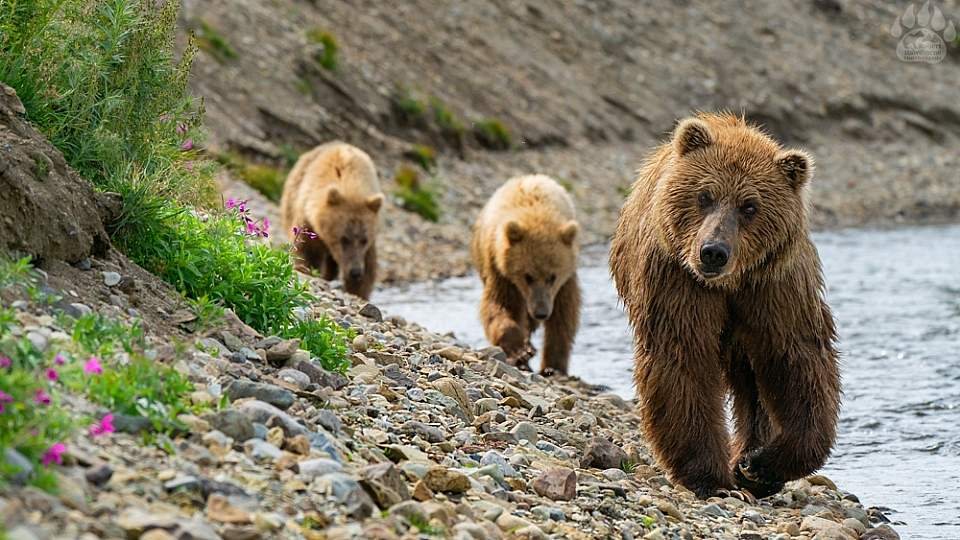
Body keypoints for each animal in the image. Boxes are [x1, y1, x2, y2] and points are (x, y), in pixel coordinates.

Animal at [280, 141, 384, 300]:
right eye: (344, 238)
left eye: (364, 240)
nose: (355, 271)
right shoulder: (308, 223)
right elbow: (307, 251)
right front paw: (306, 269)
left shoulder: (368, 245)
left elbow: (368, 268)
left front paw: (358, 291)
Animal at [470, 175, 580, 374]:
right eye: (528, 276)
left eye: (552, 277)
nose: (541, 312)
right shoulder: (500, 270)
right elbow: (500, 306)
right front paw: (519, 351)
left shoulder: (565, 281)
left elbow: (564, 316)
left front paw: (553, 365)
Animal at [612, 113, 836, 498]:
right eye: (705, 195)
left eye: (749, 206)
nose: (713, 252)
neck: (729, 284)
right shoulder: (678, 279)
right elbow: (682, 359)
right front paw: (710, 477)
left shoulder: (773, 287)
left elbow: (797, 358)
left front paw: (760, 465)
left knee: (755, 386)